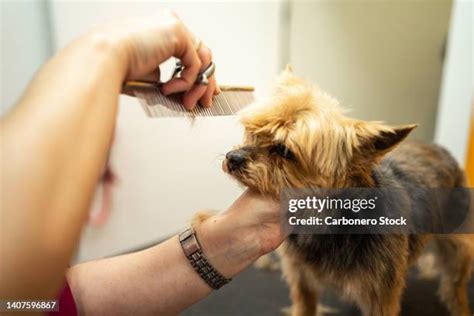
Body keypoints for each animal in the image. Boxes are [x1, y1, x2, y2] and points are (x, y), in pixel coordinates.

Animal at [222, 69, 474, 316]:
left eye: (284, 150)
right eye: (252, 131)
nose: (232, 158)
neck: (327, 227)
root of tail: (440, 148)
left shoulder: (381, 296)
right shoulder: (302, 278)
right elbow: (304, 306)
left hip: (458, 246)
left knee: (455, 283)